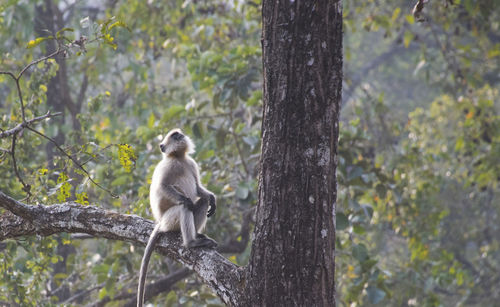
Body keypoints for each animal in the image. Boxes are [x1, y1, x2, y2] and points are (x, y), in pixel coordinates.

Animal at [137, 129, 217, 307]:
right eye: (174, 135)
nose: (180, 135)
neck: (179, 157)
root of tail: (160, 223)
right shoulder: (168, 165)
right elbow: (162, 187)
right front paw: (186, 200)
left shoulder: (191, 163)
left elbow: (198, 188)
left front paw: (212, 198)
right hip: (169, 220)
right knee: (184, 207)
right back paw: (191, 242)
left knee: (202, 202)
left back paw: (197, 235)